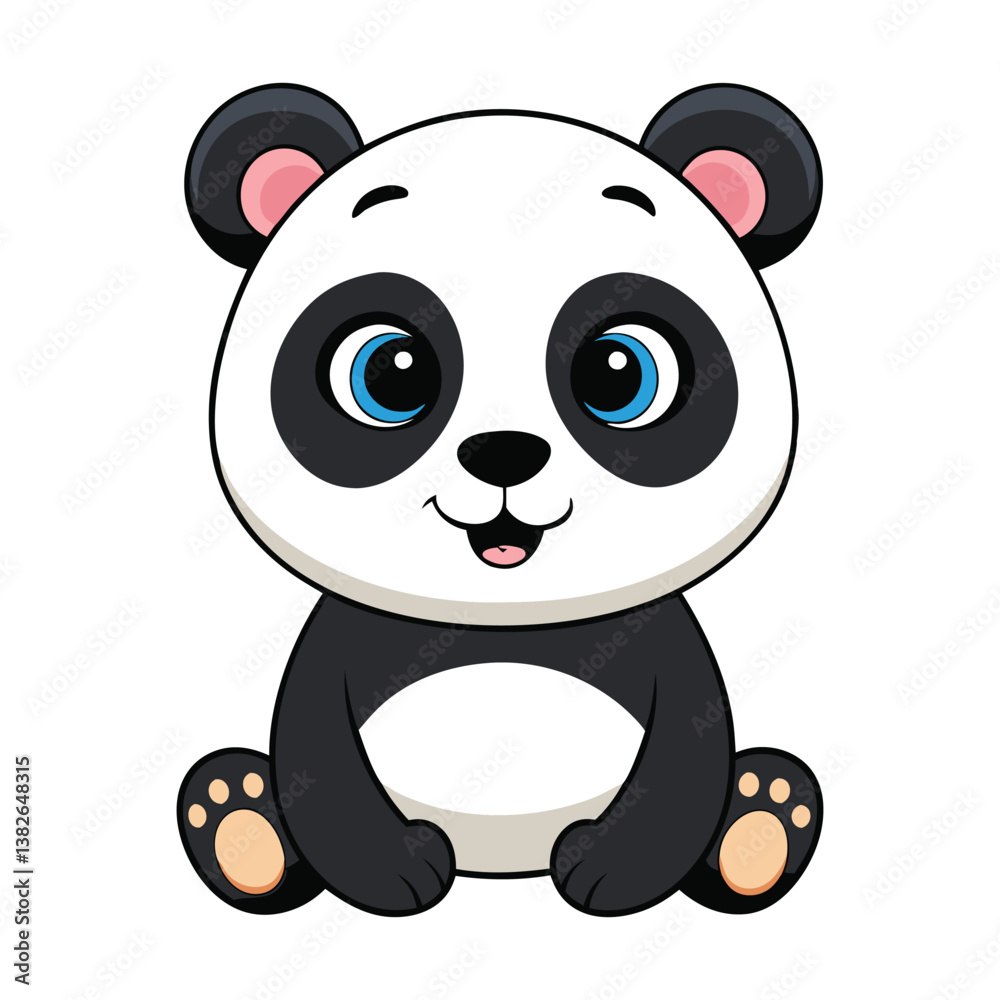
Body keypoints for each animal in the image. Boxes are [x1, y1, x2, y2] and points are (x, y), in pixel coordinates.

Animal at [177, 82, 824, 918]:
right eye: (390, 371)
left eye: (619, 370)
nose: (504, 452)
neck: (503, 622)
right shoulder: (345, 639)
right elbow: (313, 745)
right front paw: (395, 871)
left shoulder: (658, 639)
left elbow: (689, 745)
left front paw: (609, 870)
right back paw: (238, 821)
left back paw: (764, 820)